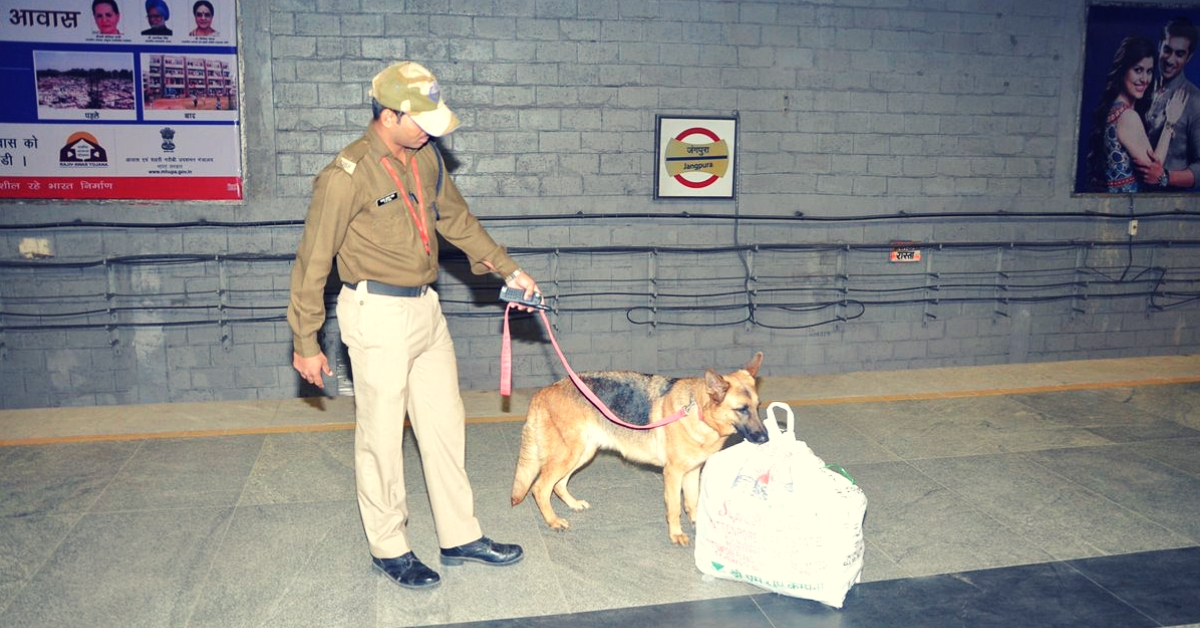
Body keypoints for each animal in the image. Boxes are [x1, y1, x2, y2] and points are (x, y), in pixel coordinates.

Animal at [511, 353, 763, 545]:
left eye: (757, 407)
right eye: (741, 409)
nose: (765, 438)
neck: (697, 410)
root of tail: (545, 390)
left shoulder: (692, 472)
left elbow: (692, 503)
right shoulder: (673, 474)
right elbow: (675, 507)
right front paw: (676, 534)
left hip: (581, 453)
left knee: (558, 485)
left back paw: (573, 505)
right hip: (569, 454)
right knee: (540, 488)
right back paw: (553, 522)